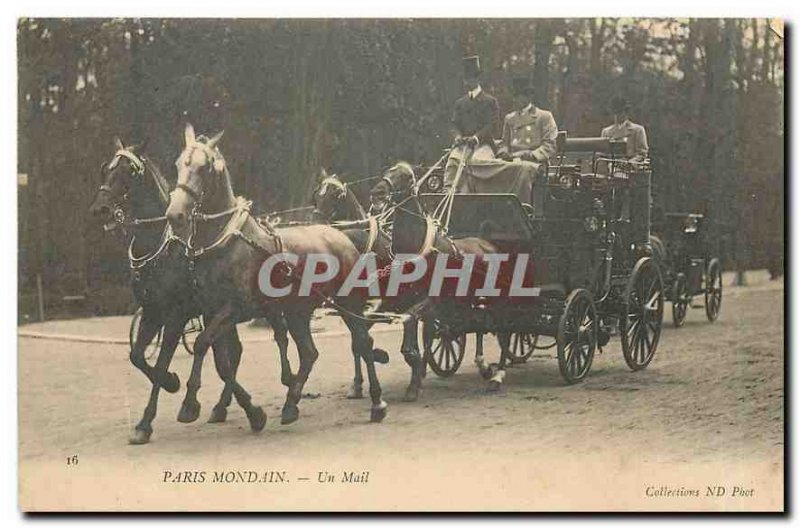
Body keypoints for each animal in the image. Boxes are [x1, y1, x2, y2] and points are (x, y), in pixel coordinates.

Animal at [87, 138, 253, 444]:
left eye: (129, 171)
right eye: (106, 169)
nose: (100, 208)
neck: (159, 245)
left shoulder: (176, 316)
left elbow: (163, 361)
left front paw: (148, 420)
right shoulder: (152, 313)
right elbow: (138, 357)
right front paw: (171, 385)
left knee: (230, 353)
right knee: (232, 352)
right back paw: (222, 406)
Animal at [166, 124, 388, 424]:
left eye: (204, 167)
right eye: (179, 164)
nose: (174, 214)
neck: (227, 243)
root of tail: (340, 235)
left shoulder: (235, 308)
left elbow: (202, 344)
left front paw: (192, 403)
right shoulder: (211, 311)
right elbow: (222, 362)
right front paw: (243, 410)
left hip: (348, 302)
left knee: (362, 342)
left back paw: (376, 401)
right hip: (298, 311)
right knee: (310, 353)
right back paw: (291, 403)